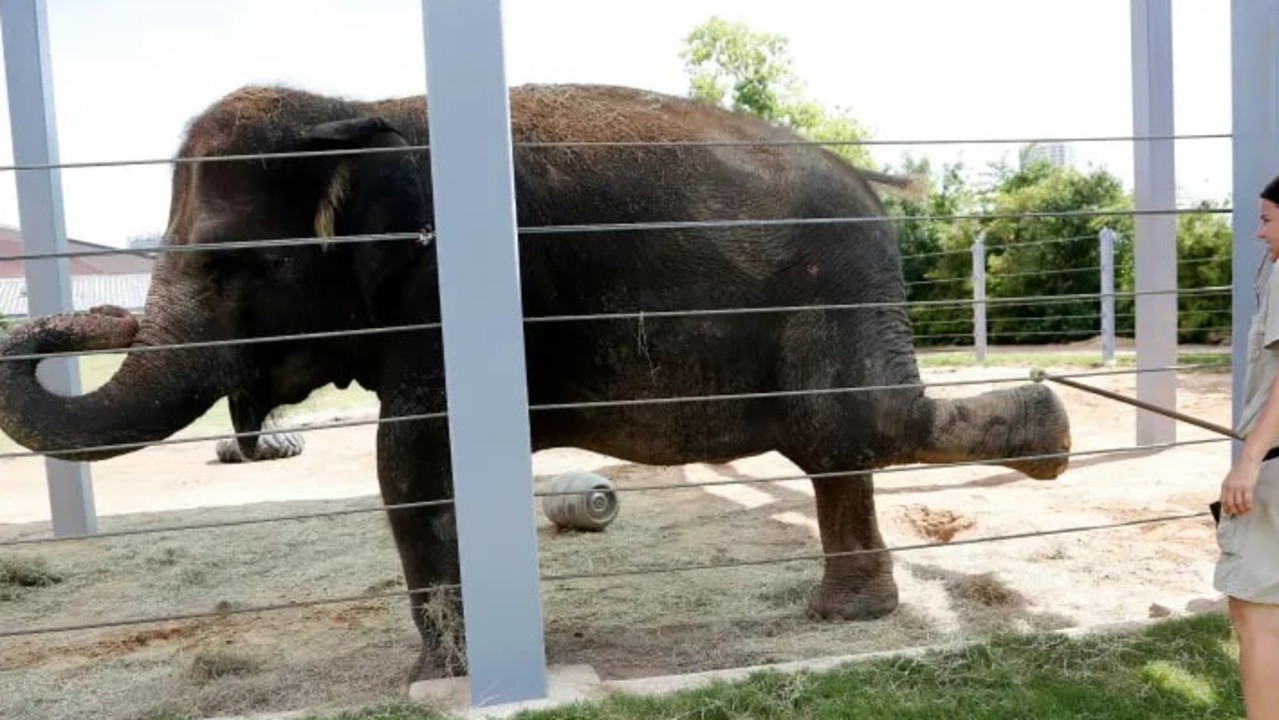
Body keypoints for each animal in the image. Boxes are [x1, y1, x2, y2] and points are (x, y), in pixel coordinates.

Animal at [0, 81, 1074, 685]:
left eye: (232, 268)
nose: (98, 317)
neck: (362, 111)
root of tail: (867, 181)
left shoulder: (446, 288)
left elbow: (410, 457)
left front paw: (437, 678)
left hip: (833, 289)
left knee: (857, 423)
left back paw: (1052, 429)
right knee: (838, 445)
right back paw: (853, 614)